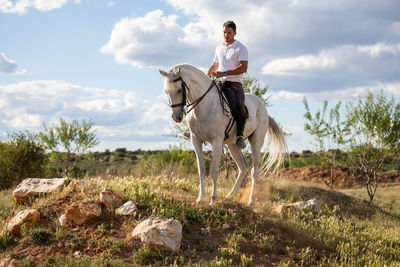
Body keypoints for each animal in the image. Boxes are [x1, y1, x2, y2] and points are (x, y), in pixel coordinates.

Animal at [159, 64, 288, 207]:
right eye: (166, 92)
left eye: (178, 90)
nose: (176, 117)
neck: (204, 105)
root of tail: (262, 106)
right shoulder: (195, 139)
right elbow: (201, 169)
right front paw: (201, 198)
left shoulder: (216, 141)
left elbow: (214, 171)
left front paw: (213, 200)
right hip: (232, 145)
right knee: (243, 167)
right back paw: (230, 194)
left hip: (256, 141)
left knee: (254, 171)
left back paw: (251, 201)